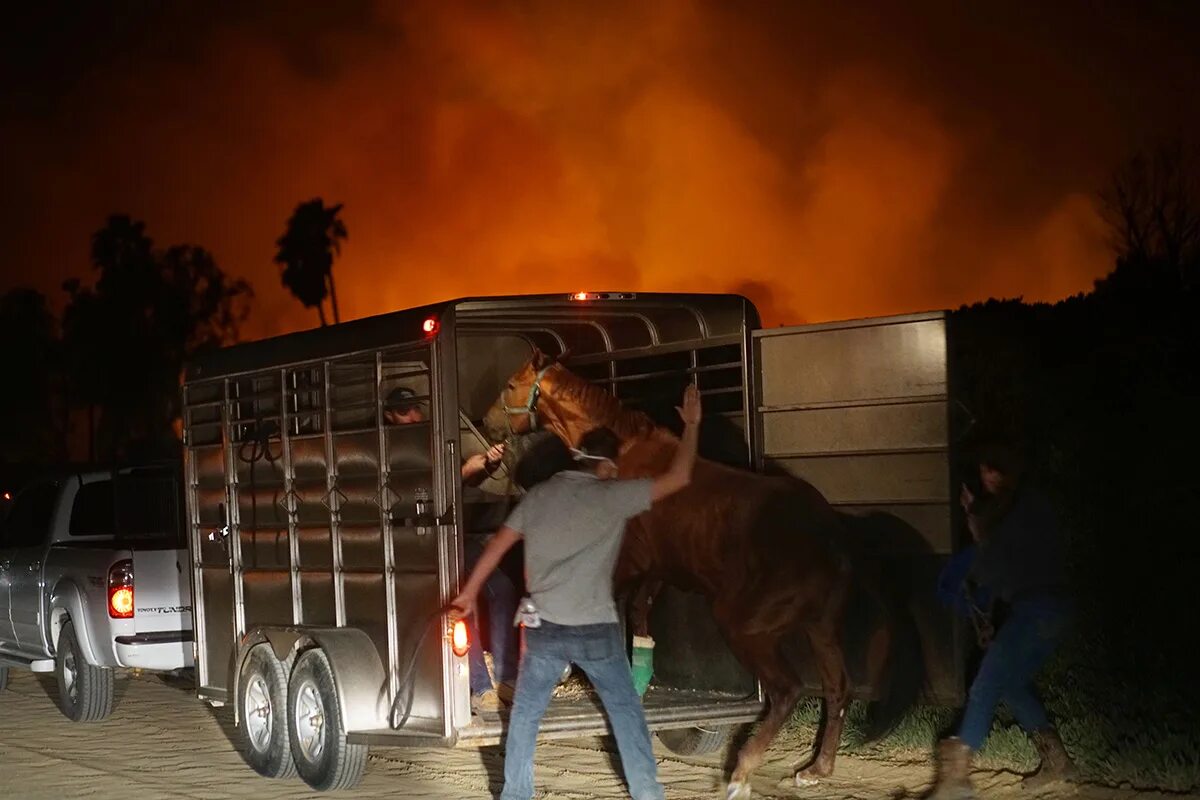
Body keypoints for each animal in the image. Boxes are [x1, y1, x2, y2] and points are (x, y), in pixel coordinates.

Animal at [482, 352, 921, 800]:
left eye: (510, 385)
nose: (488, 425)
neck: (625, 454)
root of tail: (830, 532)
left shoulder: (627, 563)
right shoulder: (655, 568)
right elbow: (638, 618)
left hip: (746, 626)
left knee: (787, 691)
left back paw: (742, 772)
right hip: (821, 629)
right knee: (837, 689)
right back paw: (816, 769)